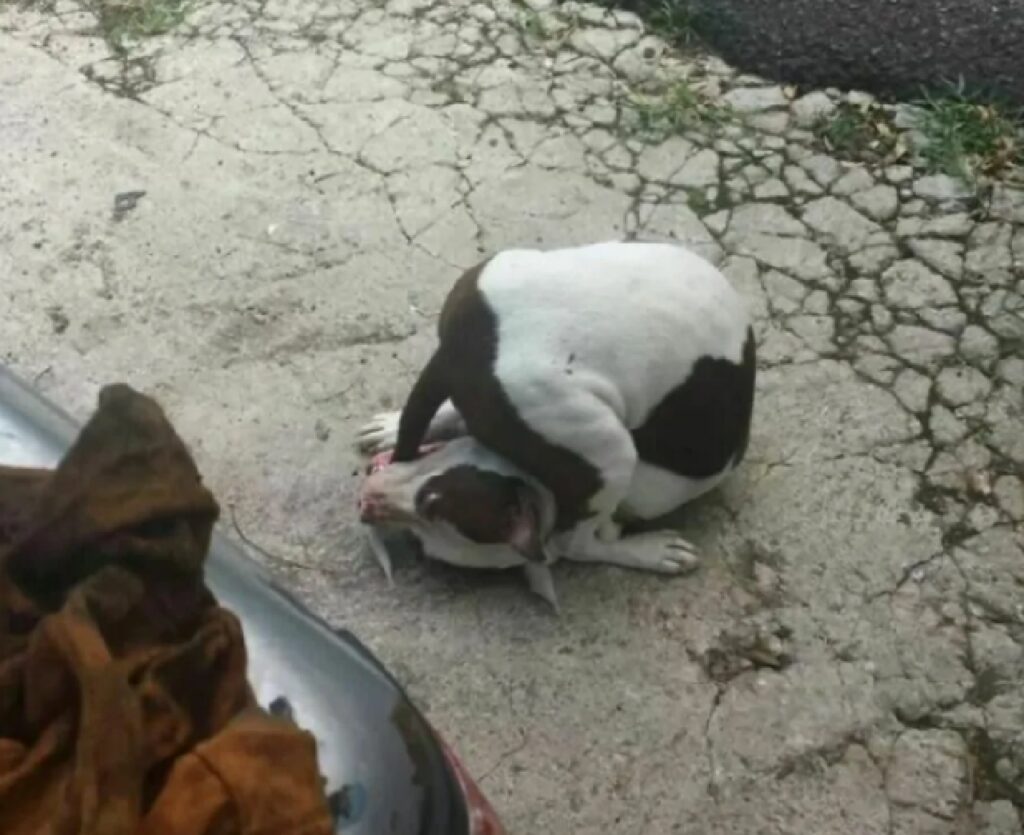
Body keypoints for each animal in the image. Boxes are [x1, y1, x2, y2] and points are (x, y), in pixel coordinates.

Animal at [356, 241, 757, 606]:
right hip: (610, 452)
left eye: (433, 504)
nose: (368, 501)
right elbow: (582, 542)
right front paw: (645, 550)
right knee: (579, 542)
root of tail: (459, 348)